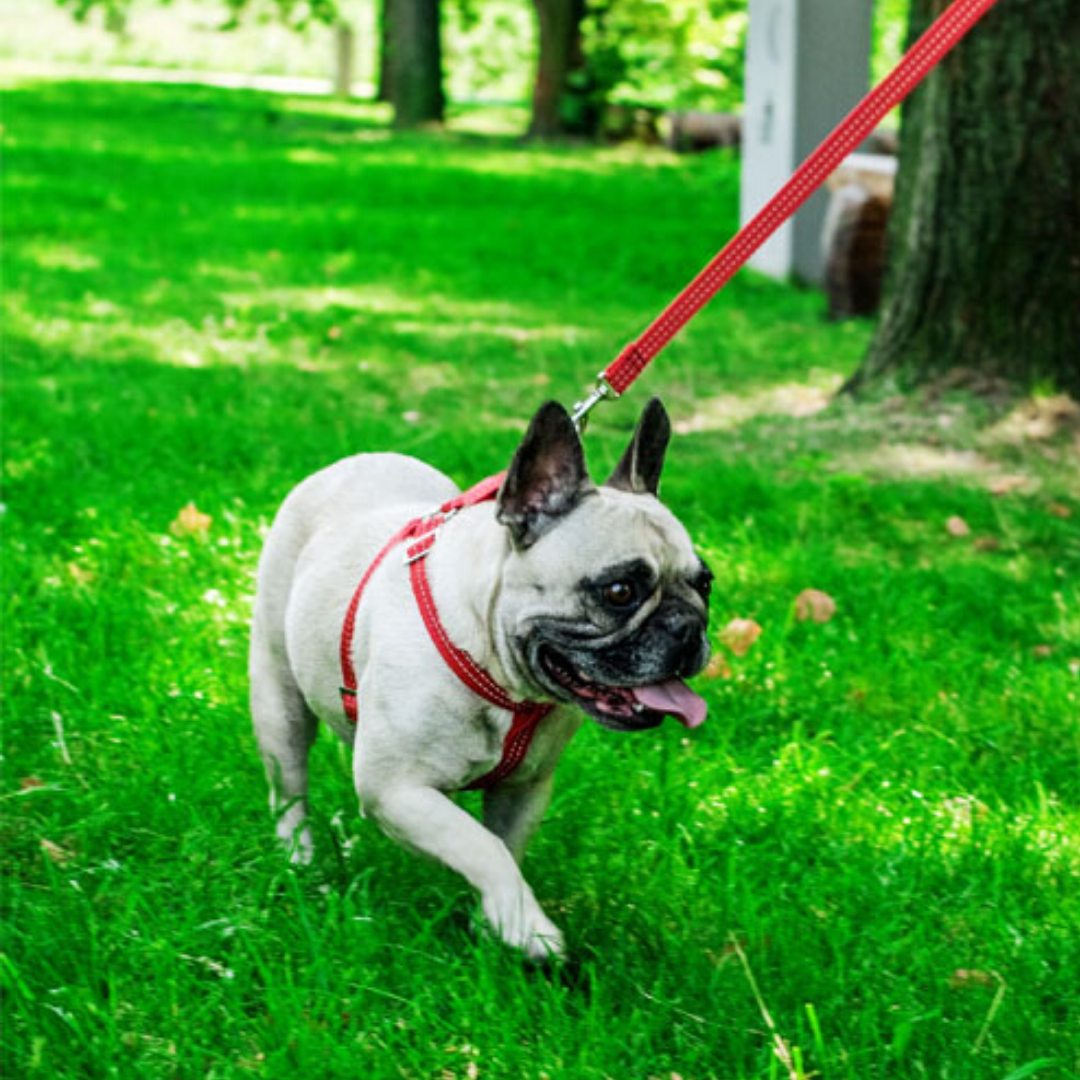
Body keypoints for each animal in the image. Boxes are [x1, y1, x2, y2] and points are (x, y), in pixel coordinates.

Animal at [248, 397, 712, 963]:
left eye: (705, 585)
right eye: (620, 591)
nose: (689, 627)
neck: (501, 677)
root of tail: (350, 463)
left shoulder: (525, 789)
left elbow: (505, 850)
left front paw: (496, 924)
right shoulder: (395, 789)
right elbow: (482, 847)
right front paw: (530, 930)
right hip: (278, 700)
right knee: (289, 789)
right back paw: (300, 864)